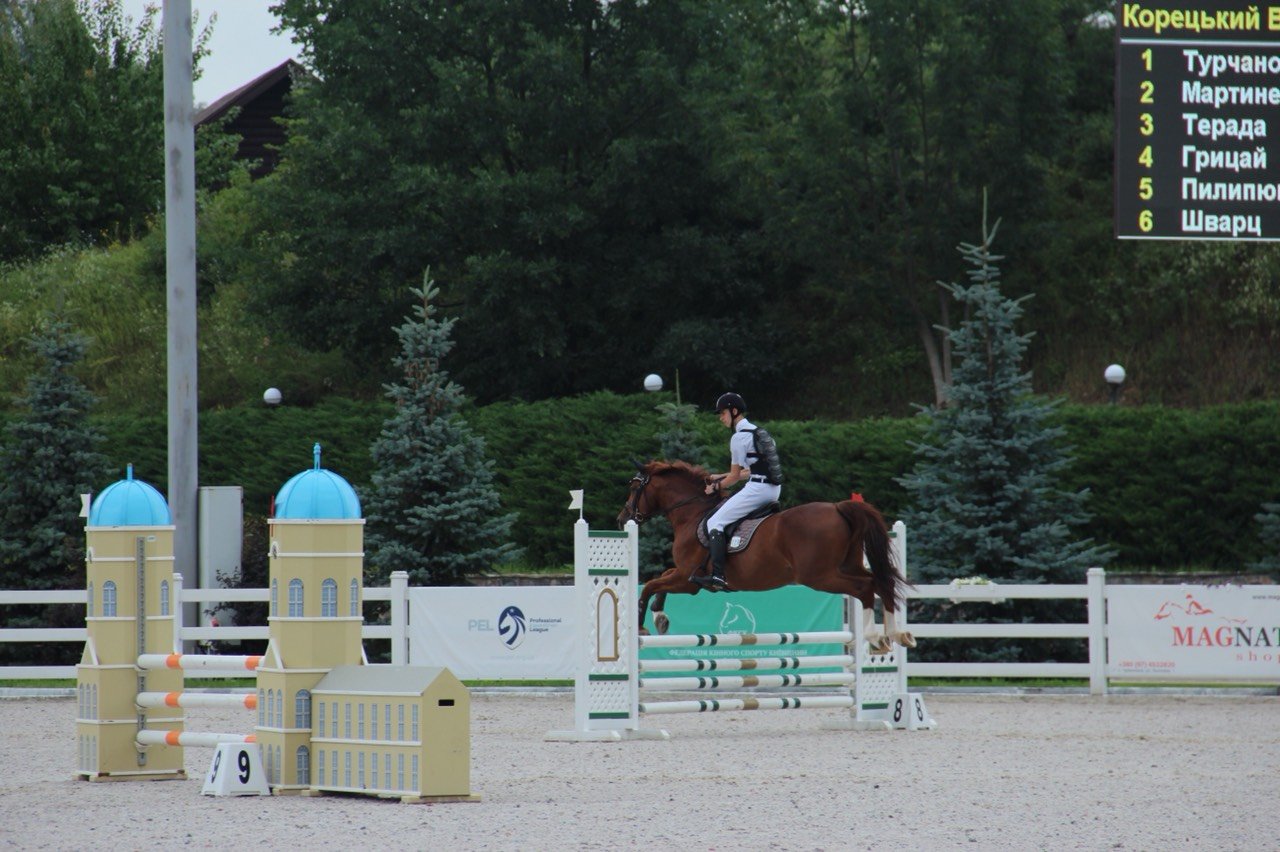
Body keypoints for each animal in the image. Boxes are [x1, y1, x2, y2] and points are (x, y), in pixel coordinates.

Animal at [618, 460, 915, 653]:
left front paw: (644, 626)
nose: (622, 519)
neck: (692, 513)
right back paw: (895, 634)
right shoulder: (685, 577)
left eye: (633, 488)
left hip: (821, 576)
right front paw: (661, 617)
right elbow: (660, 579)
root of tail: (839, 508)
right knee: (880, 582)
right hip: (846, 566)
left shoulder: (687, 579)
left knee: (865, 587)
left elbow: (651, 585)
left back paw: (875, 637)